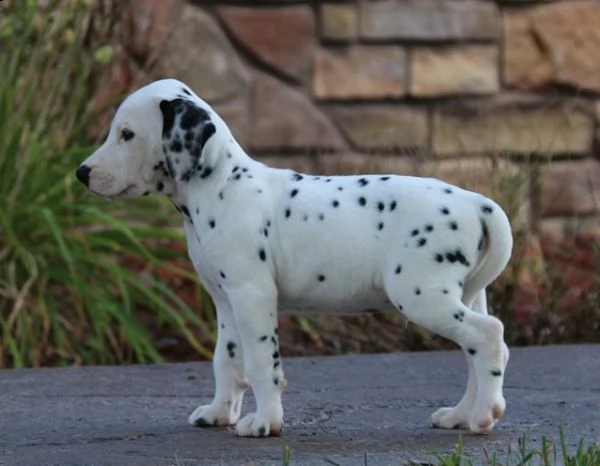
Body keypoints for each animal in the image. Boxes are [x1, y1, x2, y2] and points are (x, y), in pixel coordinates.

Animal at [77, 78, 512, 438]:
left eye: (127, 134)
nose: (82, 173)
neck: (221, 185)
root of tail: (479, 203)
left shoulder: (252, 297)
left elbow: (261, 363)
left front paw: (265, 423)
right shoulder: (226, 302)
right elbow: (227, 361)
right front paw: (220, 413)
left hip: (422, 295)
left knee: (488, 336)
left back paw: (482, 417)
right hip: (466, 295)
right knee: (477, 349)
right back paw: (461, 414)